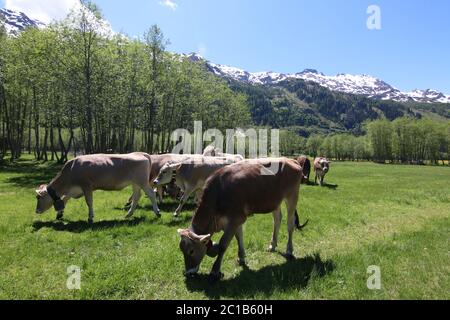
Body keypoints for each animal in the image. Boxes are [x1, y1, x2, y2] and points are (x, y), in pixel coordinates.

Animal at [178, 158, 308, 280]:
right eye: (181, 250)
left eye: (191, 251)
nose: (187, 273)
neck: (219, 192)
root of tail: (289, 159)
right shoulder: (236, 219)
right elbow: (239, 237)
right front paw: (241, 257)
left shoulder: (235, 219)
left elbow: (223, 245)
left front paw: (215, 270)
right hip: (274, 201)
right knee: (277, 219)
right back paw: (272, 245)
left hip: (292, 196)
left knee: (290, 224)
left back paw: (289, 250)